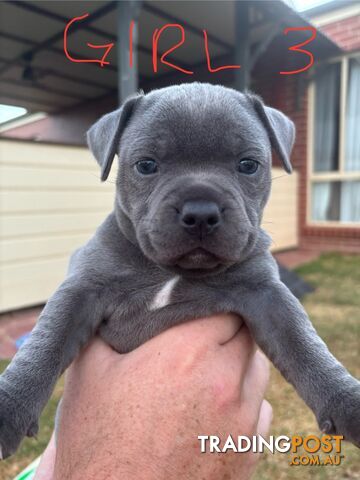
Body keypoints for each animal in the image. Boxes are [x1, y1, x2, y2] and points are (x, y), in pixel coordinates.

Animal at [0, 83, 360, 458]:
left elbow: (302, 342)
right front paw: (9, 406)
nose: (200, 212)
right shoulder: (82, 288)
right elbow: (47, 340)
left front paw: (346, 399)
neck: (171, 272)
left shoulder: (267, 294)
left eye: (248, 165)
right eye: (146, 165)